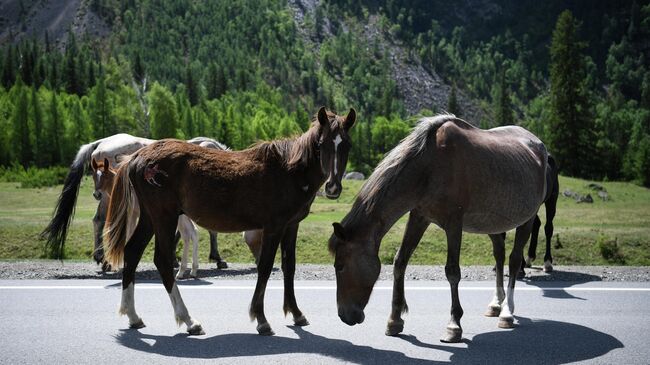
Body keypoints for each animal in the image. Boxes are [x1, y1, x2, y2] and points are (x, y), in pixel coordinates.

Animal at [104, 106, 354, 336]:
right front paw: (261, 318)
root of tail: (137, 157)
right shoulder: (273, 227)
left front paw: (296, 313)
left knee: (132, 252)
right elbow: (265, 267)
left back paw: (133, 316)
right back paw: (188, 320)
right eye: (321, 144)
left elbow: (289, 266)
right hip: (164, 217)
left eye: (347, 145)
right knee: (162, 261)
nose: (332, 187)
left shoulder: (291, 226)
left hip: (149, 217)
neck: (289, 171)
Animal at [326, 114, 544, 342]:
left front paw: (454, 325)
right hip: (492, 225)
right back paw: (496, 304)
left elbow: (453, 272)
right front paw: (394, 320)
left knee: (514, 261)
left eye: (340, 266)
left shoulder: (454, 224)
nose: (344, 316)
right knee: (499, 255)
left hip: (527, 220)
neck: (429, 166)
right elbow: (400, 262)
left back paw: (506, 312)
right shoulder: (419, 217)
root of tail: (538, 145)